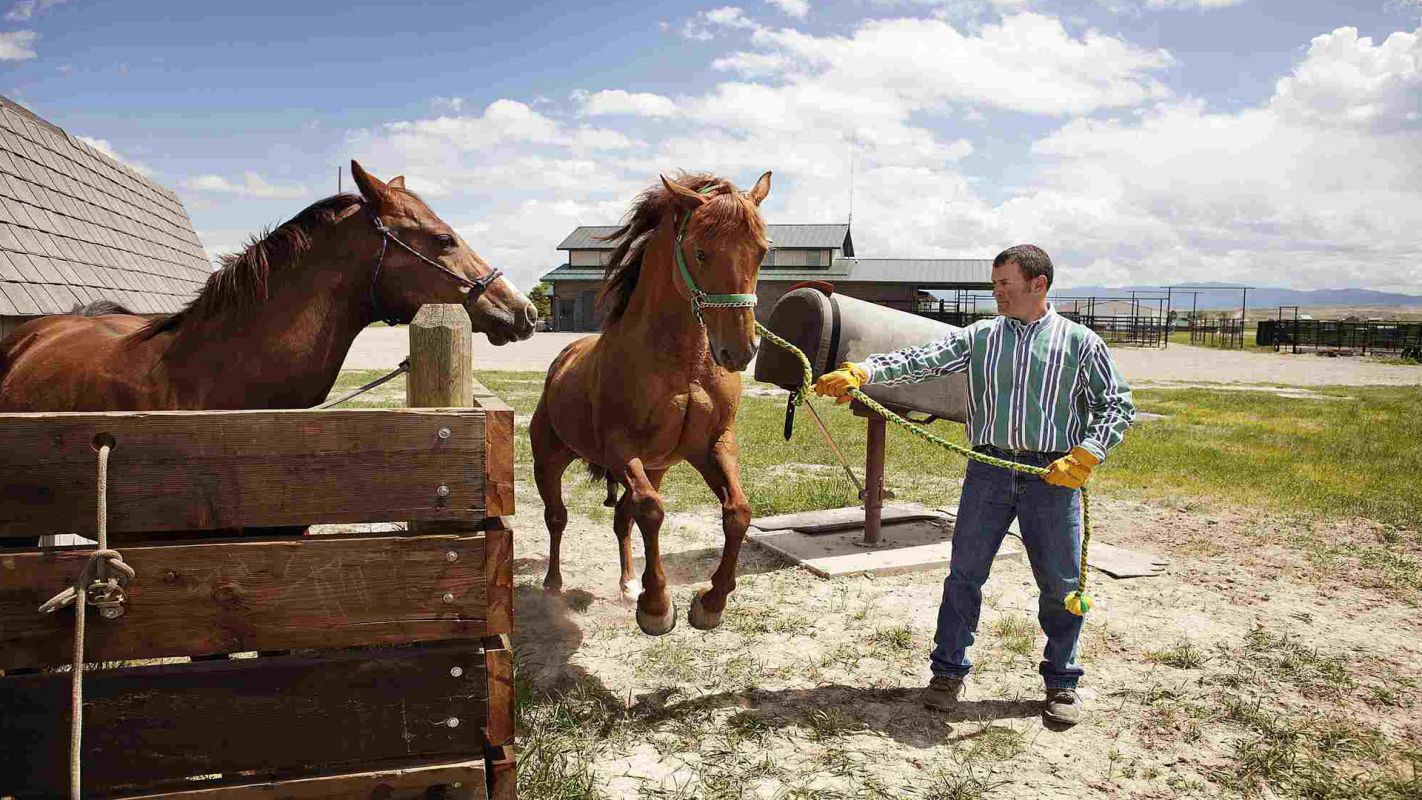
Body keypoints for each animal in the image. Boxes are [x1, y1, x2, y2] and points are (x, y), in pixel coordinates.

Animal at [534, 170, 773, 639]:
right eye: (700, 251)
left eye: (762, 251)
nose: (739, 351)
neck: (684, 365)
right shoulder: (621, 449)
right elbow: (651, 512)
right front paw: (658, 606)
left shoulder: (713, 446)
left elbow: (737, 512)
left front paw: (710, 602)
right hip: (549, 460)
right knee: (558, 518)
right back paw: (554, 585)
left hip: (656, 467)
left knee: (622, 520)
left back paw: (628, 585)